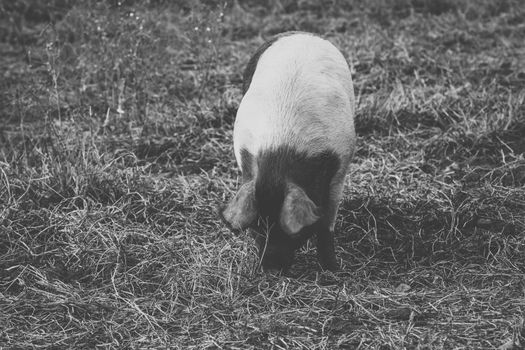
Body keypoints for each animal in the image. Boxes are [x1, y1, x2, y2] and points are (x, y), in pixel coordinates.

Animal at [219, 31, 354, 270]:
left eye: (289, 233)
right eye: (256, 228)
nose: (271, 269)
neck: (281, 153)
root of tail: (301, 33)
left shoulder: (340, 166)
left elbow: (326, 224)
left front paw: (333, 269)